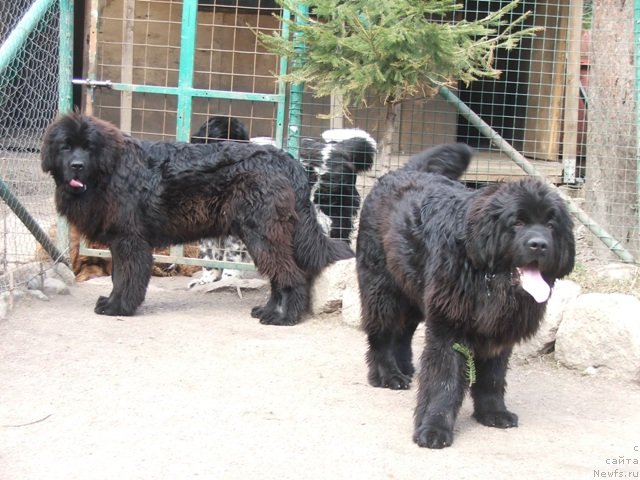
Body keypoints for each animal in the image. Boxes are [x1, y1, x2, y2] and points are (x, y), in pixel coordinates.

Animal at [42, 113, 352, 324]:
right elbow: (118, 277)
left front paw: (118, 308)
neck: (110, 170)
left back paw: (283, 318)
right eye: (66, 147)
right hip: (264, 235)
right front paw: (113, 302)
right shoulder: (120, 242)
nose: (76, 166)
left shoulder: (129, 241)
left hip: (262, 233)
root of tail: (286, 160)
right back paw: (267, 310)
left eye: (88, 147)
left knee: (290, 276)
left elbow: (127, 278)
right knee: (280, 275)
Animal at [356, 144, 576, 448]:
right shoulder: (449, 327)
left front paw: (493, 412)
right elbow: (444, 381)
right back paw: (388, 374)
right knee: (382, 333)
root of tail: (402, 171)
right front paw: (434, 428)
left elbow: (492, 377)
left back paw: (406, 368)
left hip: (413, 290)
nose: (539, 244)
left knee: (403, 332)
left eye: (551, 225)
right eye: (517, 223)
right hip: (382, 287)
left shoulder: (499, 329)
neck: (485, 274)